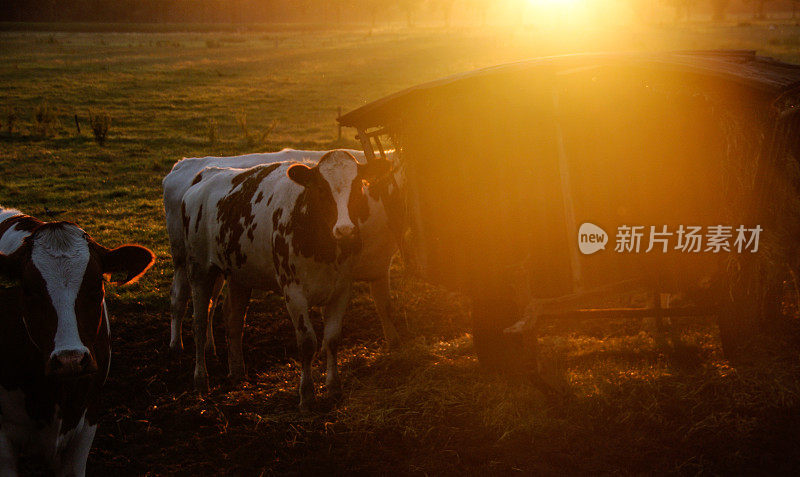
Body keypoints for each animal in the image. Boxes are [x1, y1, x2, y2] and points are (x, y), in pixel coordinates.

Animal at [162, 147, 404, 356]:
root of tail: (193, 166)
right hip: (184, 259)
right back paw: (175, 344)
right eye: (321, 190)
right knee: (179, 296)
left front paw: (393, 343)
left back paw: (210, 346)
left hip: (223, 268)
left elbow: (384, 305)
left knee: (212, 304)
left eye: (357, 187)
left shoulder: (375, 264)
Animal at [184, 151, 390, 408]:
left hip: (240, 274)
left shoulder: (342, 289)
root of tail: (207, 173)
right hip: (199, 269)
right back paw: (200, 379)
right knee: (199, 323)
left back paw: (237, 371)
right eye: (321, 189)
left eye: (358, 185)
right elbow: (308, 342)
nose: (345, 230)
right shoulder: (293, 292)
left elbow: (332, 339)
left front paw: (334, 388)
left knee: (234, 319)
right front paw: (307, 396)